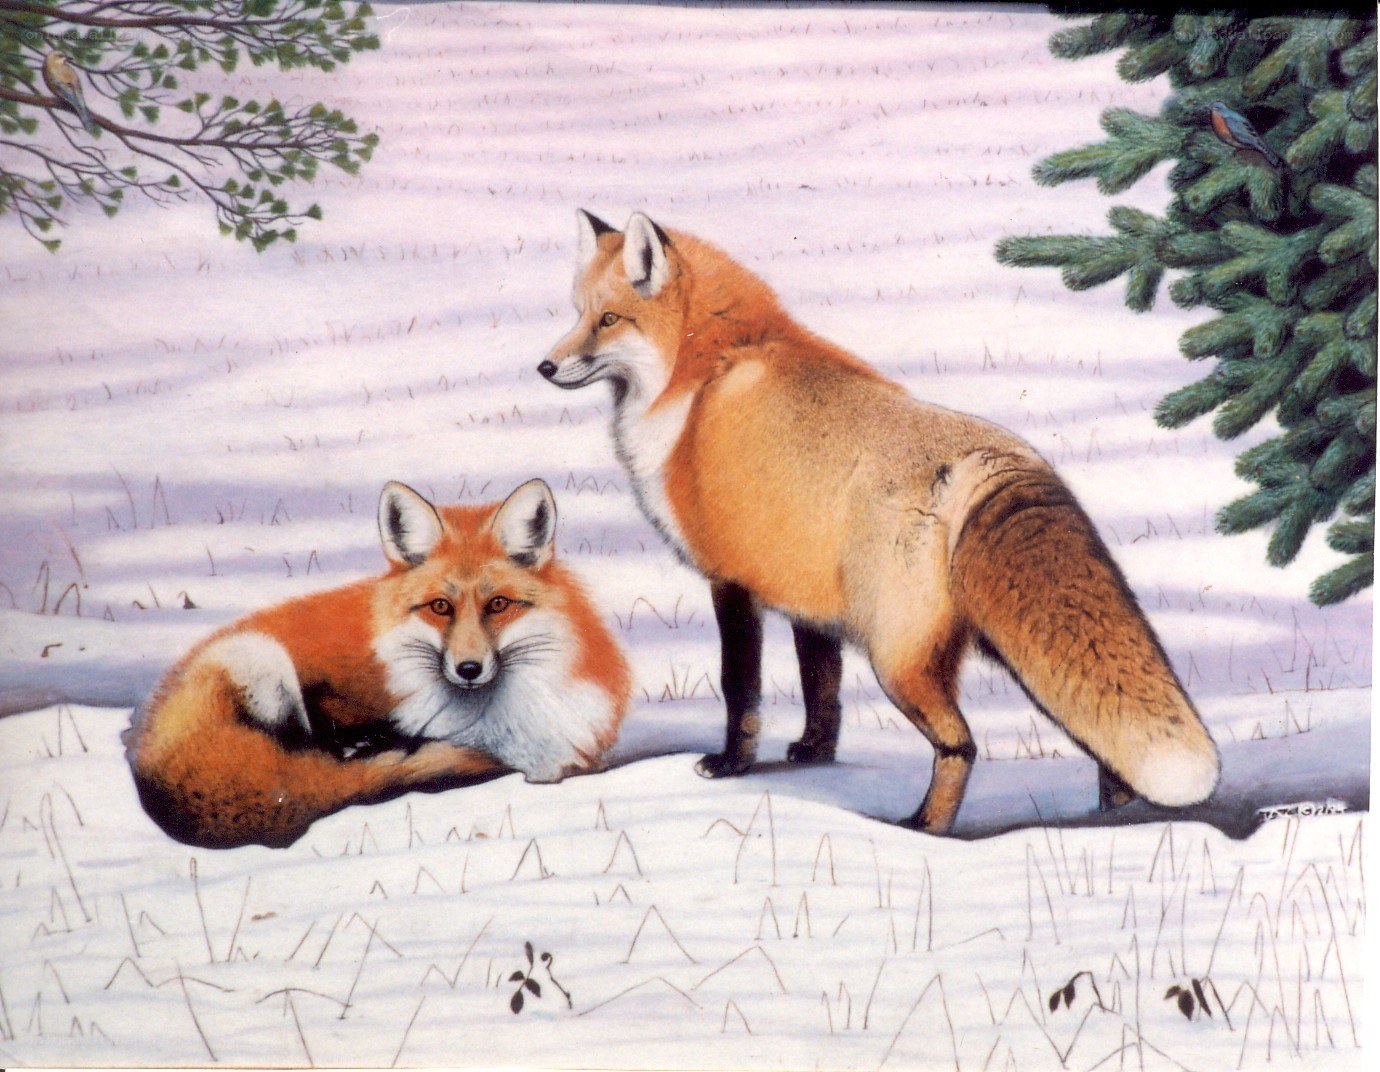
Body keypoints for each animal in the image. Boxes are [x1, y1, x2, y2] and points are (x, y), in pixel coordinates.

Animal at [124, 479, 632, 849]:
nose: (468, 669)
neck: (498, 726)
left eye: (499, 605)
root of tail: (147, 743)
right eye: (440, 607)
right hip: (257, 656)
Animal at [537, 210, 1220, 835]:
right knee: (1098, 744)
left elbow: (739, 687)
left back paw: (923, 830)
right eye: (575, 313)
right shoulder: (806, 594)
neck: (699, 376)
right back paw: (1112, 819)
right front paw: (814, 755)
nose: (544, 367)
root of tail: (995, 460)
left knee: (961, 743)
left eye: (608, 320)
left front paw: (731, 766)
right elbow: (822, 686)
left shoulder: (730, 577)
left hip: (899, 660)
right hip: (1006, 649)